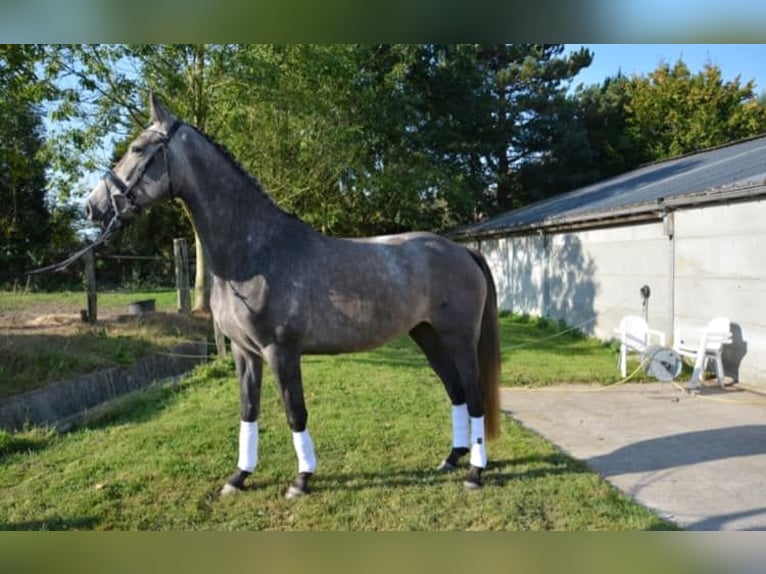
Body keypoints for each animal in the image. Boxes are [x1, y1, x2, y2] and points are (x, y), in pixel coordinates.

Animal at [85, 94, 502, 499]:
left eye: (138, 149)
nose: (92, 206)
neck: (255, 253)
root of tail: (462, 251)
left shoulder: (280, 351)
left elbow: (294, 412)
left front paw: (301, 480)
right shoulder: (245, 353)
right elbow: (248, 411)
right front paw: (239, 477)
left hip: (459, 338)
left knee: (474, 394)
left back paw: (475, 472)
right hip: (427, 335)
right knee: (455, 391)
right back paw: (452, 458)